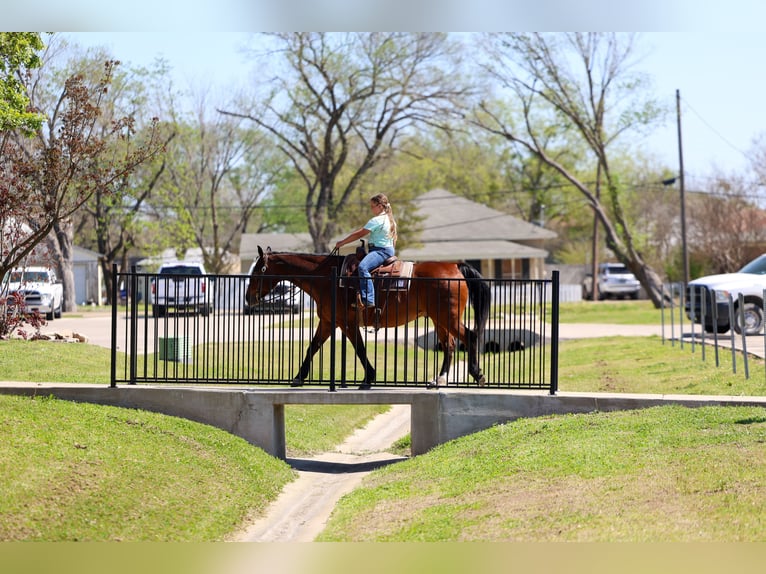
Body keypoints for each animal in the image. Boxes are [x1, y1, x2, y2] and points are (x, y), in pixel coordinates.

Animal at [246, 245, 491, 389]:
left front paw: (368, 378)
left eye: (258, 270)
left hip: (447, 317)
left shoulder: (345, 323)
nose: (248, 298)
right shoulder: (328, 322)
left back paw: (476, 374)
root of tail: (455, 266)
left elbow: (360, 349)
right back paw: (438, 379)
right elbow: (312, 347)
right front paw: (299, 376)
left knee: (468, 336)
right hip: (438, 318)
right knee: (449, 345)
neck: (326, 277)